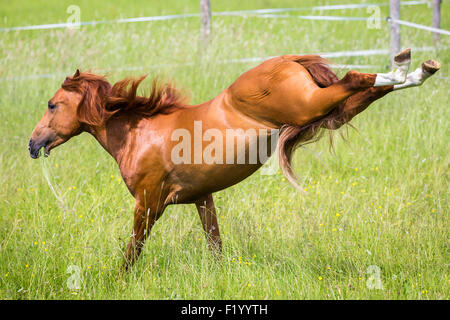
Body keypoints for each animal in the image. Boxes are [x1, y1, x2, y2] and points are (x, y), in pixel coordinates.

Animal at [30, 48, 440, 268]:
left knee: (357, 77)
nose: (33, 145)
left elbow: (133, 250)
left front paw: (117, 281)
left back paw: (406, 64)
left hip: (308, 107)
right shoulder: (202, 198)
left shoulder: (148, 203)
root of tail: (287, 60)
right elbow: (215, 244)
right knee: (365, 91)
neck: (138, 134)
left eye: (52, 105)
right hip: (324, 112)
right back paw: (419, 68)